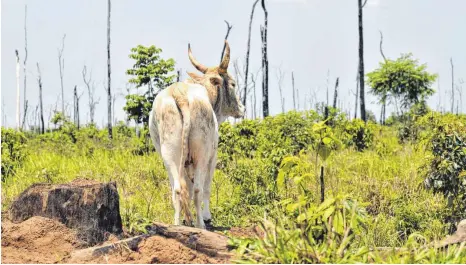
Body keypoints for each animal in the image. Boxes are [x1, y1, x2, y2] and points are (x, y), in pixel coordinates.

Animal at [149, 41, 246, 229]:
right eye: (233, 84)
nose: (242, 108)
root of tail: (180, 94)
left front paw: (188, 219)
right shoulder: (212, 156)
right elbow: (206, 187)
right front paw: (207, 217)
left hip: (169, 153)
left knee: (177, 188)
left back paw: (177, 225)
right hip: (201, 153)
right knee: (198, 189)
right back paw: (201, 224)